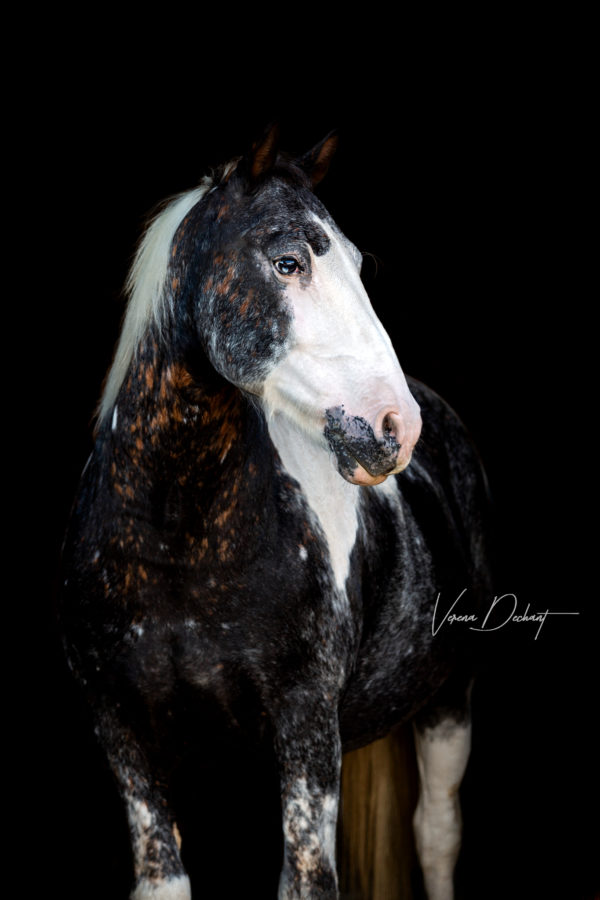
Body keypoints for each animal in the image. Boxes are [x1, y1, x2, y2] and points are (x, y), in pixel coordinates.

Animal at [59, 125, 493, 900]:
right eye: (288, 262)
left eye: (356, 263)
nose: (396, 427)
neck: (178, 544)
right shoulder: (126, 737)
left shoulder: (308, 735)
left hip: (450, 701)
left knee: (437, 833)